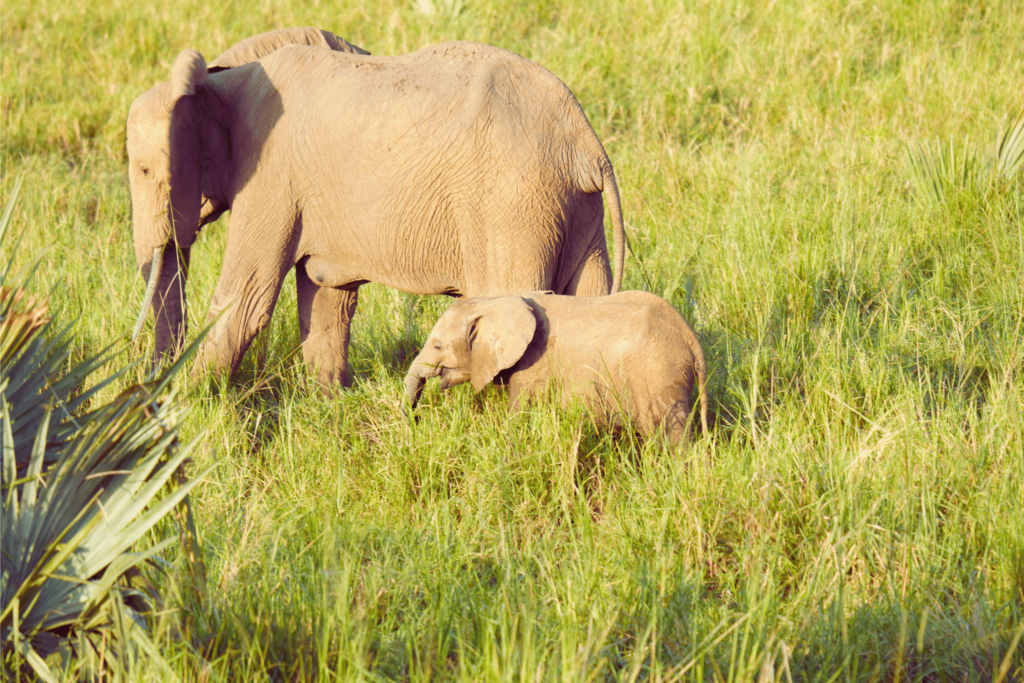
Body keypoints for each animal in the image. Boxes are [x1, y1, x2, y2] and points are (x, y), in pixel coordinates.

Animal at [128, 36, 622, 389]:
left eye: (146, 170)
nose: (147, 383)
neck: (220, 80)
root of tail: (585, 142)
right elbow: (327, 298)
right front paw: (327, 403)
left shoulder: (270, 179)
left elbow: (245, 301)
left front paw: (188, 407)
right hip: (573, 210)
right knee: (590, 302)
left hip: (512, 206)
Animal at [403, 290, 708, 446]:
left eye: (438, 346)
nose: (415, 422)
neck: (496, 301)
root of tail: (690, 339)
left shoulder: (534, 363)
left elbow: (521, 415)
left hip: (658, 374)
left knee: (668, 432)